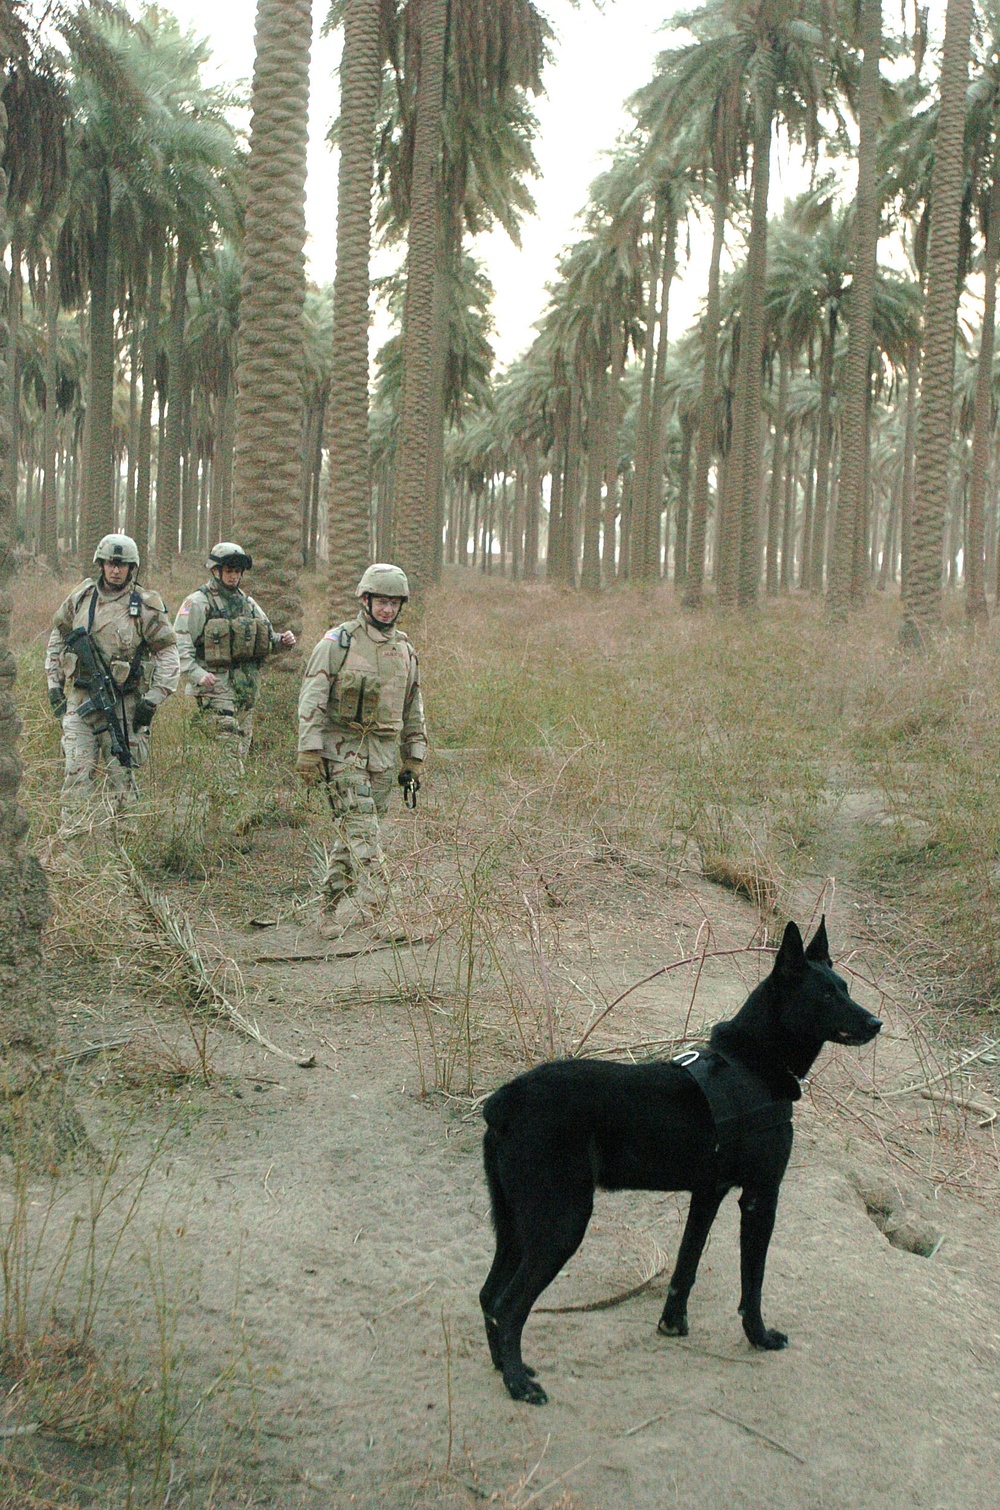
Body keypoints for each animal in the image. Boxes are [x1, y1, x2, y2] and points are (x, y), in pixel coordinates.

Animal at [483, 918, 882, 1401]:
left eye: (845, 988)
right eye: (824, 996)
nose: (876, 1022)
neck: (752, 1062)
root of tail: (506, 1100)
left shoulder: (708, 1193)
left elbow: (685, 1264)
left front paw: (672, 1324)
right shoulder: (761, 1195)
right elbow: (753, 1281)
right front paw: (759, 1336)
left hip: (516, 1223)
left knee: (488, 1297)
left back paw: (505, 1368)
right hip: (560, 1223)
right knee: (509, 1305)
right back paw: (519, 1383)